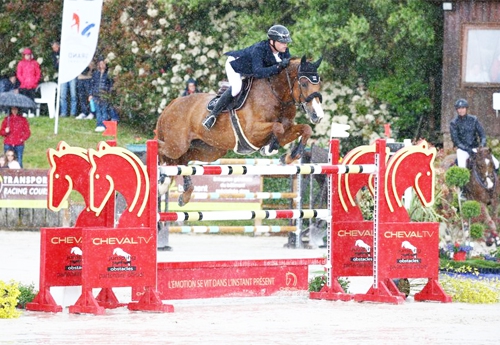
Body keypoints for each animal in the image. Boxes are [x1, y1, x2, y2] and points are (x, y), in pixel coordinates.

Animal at [158, 54, 326, 204]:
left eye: (319, 84)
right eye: (304, 84)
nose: (318, 115)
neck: (276, 95)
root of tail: (171, 105)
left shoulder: (286, 130)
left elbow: (305, 129)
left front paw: (289, 156)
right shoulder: (252, 133)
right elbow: (277, 127)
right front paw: (270, 148)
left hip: (208, 150)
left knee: (183, 160)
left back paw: (184, 194)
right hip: (177, 145)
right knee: (163, 150)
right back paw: (162, 178)